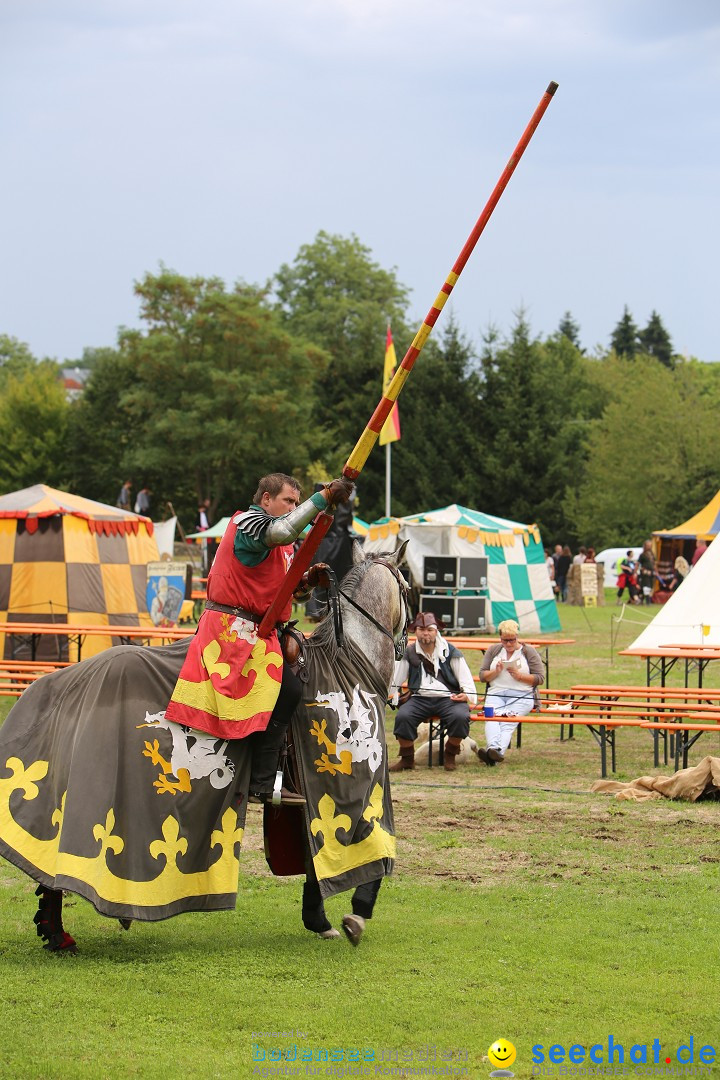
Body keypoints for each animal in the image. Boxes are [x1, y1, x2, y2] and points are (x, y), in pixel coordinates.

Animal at [0, 544, 408, 950]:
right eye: (407, 587)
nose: (406, 644)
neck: (347, 658)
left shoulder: (310, 792)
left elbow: (313, 853)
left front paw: (318, 918)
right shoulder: (353, 784)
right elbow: (373, 845)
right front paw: (357, 914)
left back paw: (55, 929)